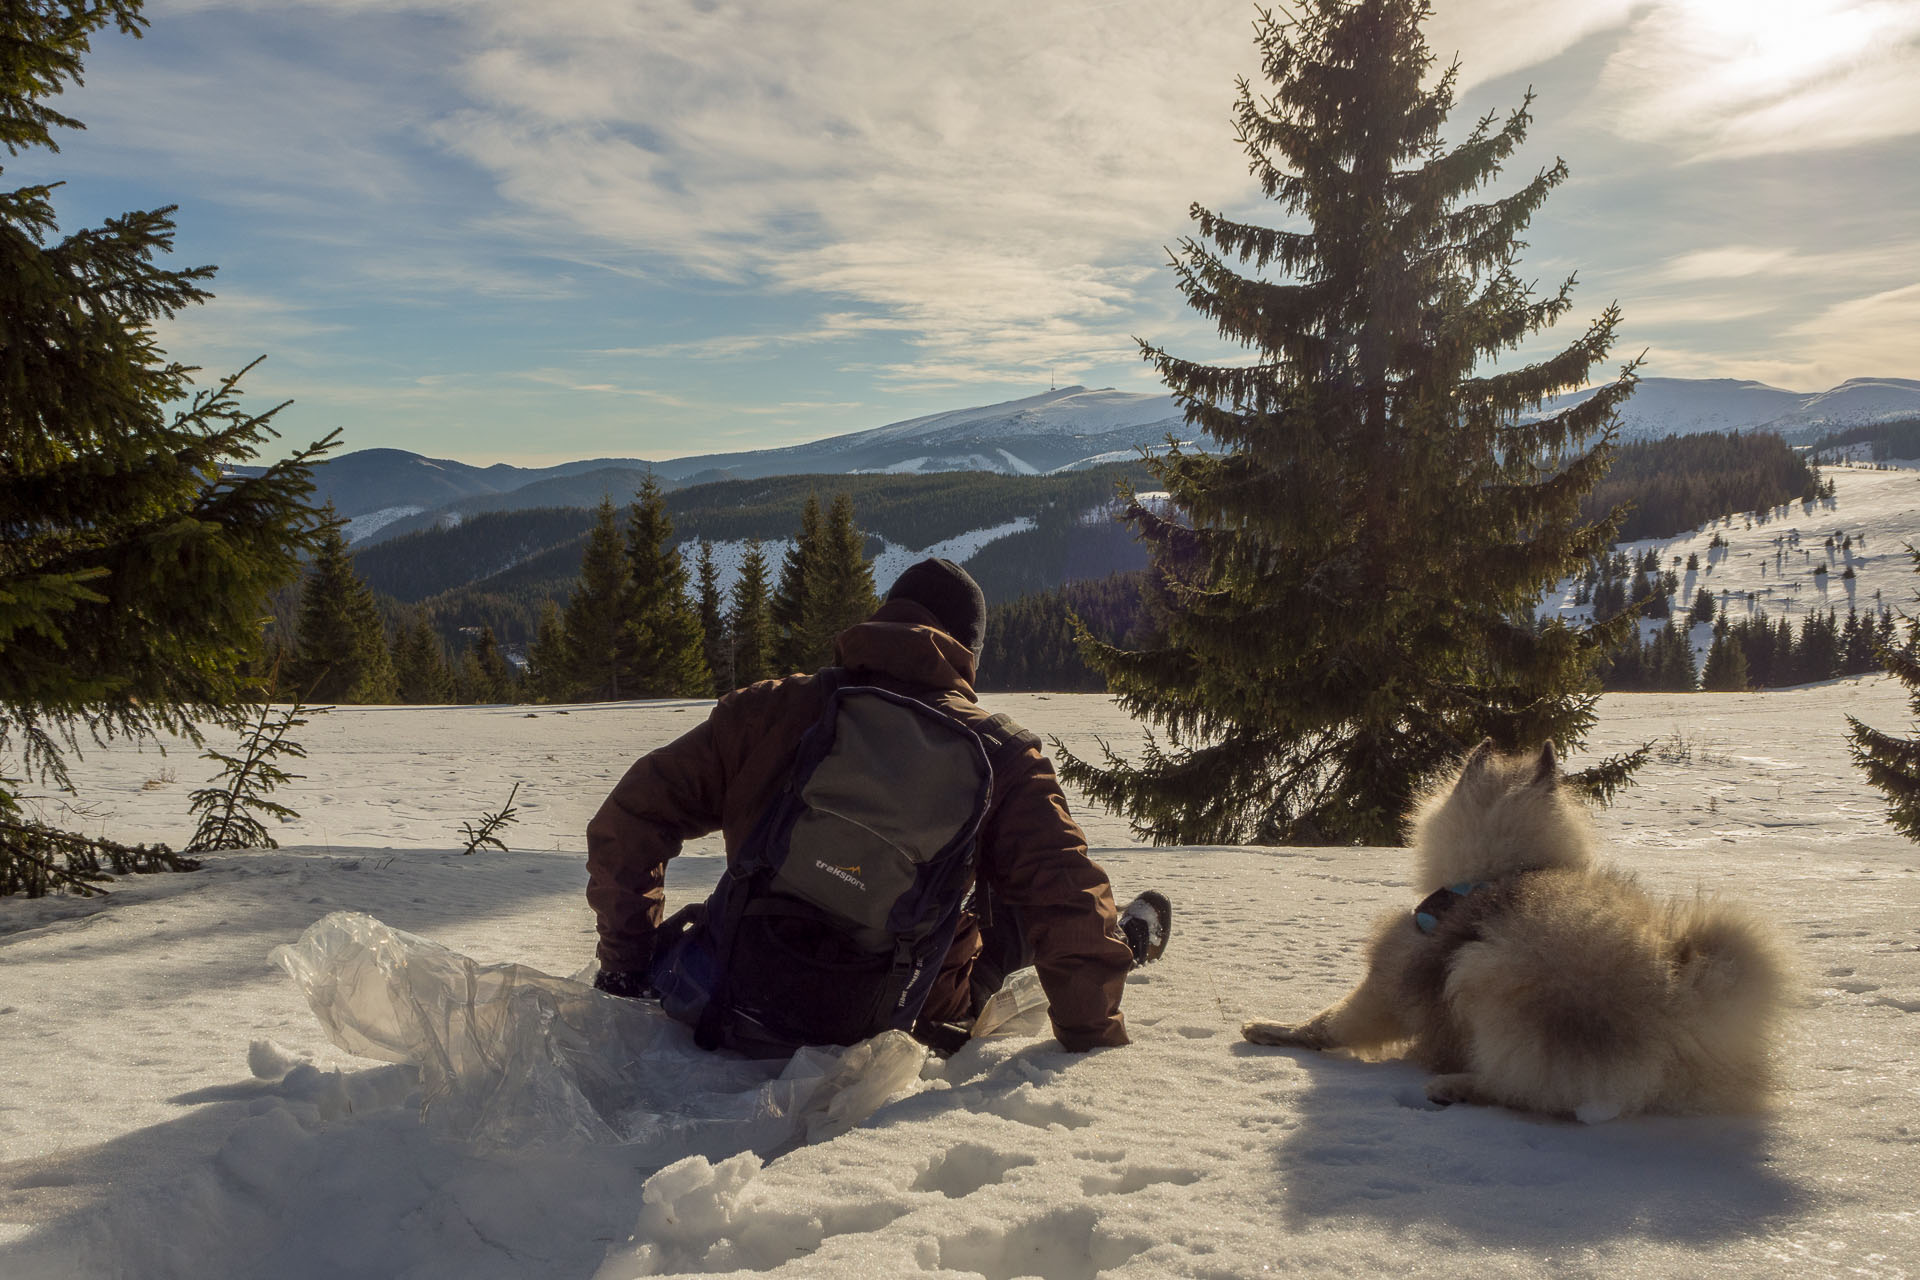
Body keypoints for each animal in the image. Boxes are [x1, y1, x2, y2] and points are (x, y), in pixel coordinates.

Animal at [1236, 740, 1789, 1120]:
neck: (1495, 872)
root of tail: (1675, 1001)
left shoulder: (1385, 987)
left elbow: (1328, 1024)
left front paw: (1274, 1030)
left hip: (1481, 969)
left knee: (1526, 1092)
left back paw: (1458, 1086)